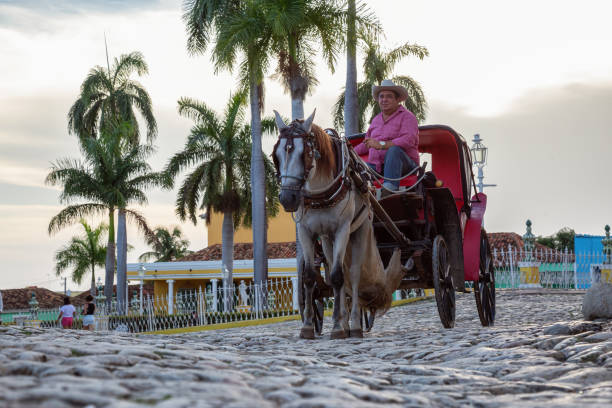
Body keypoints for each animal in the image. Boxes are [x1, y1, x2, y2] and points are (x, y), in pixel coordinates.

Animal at [272, 108, 406, 338]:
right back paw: (344, 321)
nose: (288, 198)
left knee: (353, 274)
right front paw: (308, 326)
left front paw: (337, 327)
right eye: (277, 156)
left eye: (305, 154)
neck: (321, 191)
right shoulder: (306, 231)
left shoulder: (342, 229)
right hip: (327, 239)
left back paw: (354, 324)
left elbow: (337, 277)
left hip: (359, 231)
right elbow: (309, 277)